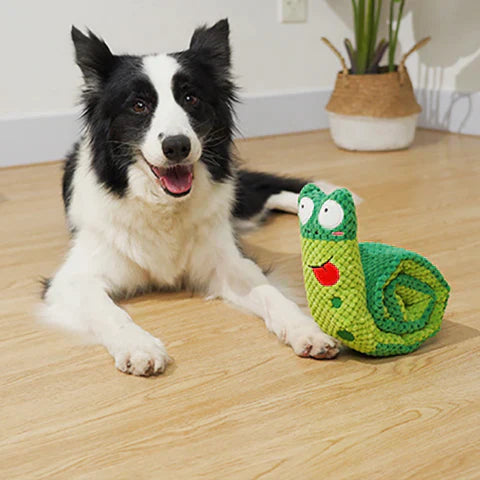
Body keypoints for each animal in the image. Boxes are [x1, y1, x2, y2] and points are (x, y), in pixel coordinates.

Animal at [42, 18, 342, 376]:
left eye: (191, 98)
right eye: (139, 105)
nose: (177, 146)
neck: (163, 207)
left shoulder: (228, 262)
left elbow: (270, 294)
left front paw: (306, 329)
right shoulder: (72, 280)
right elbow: (110, 312)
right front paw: (139, 346)